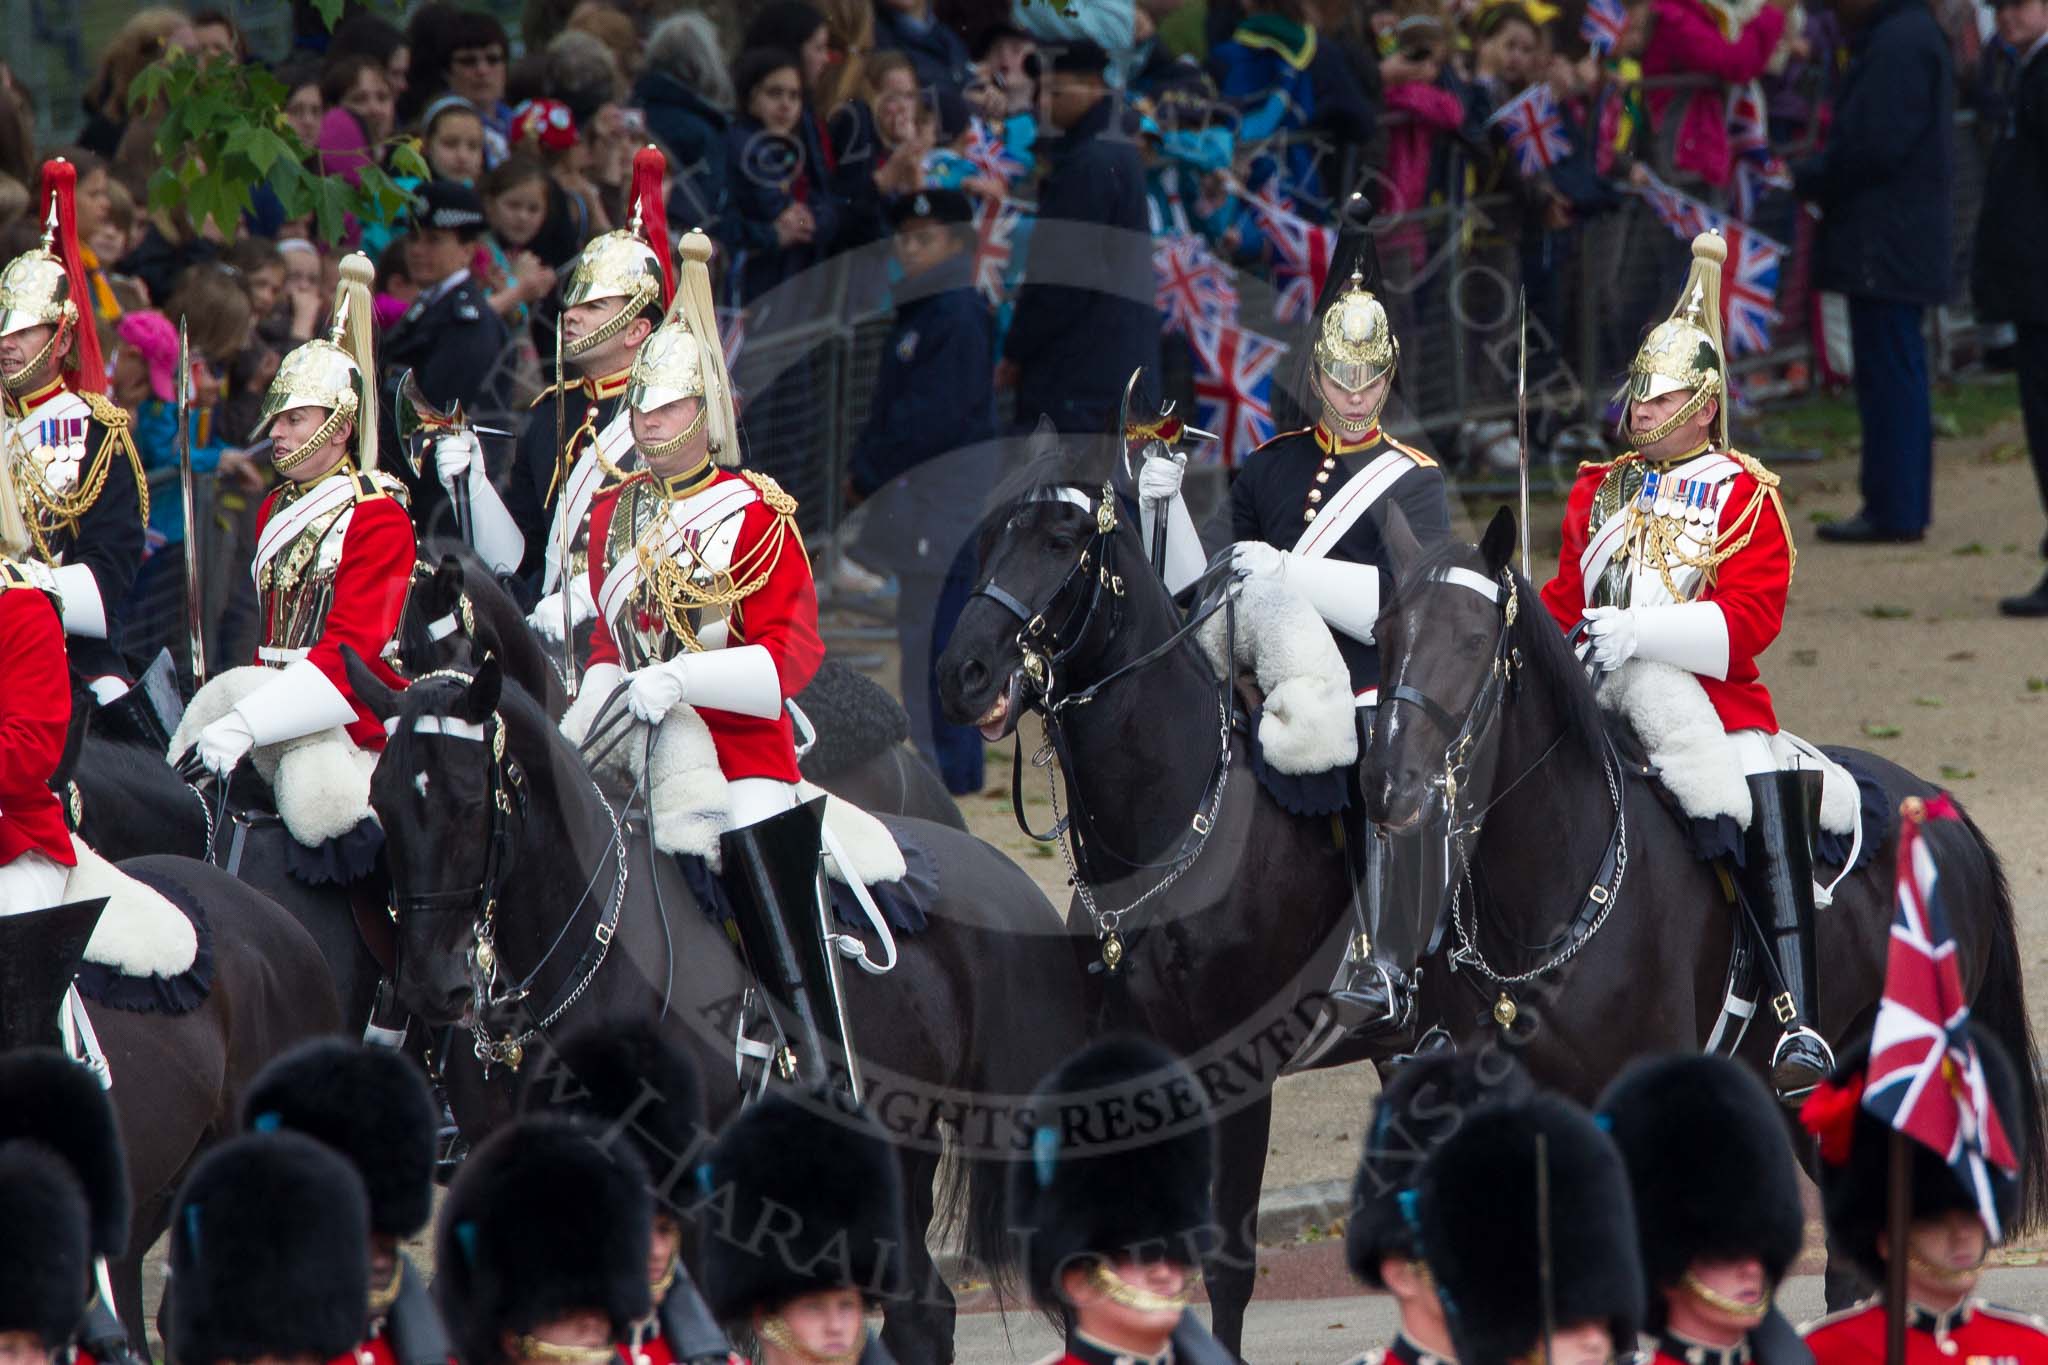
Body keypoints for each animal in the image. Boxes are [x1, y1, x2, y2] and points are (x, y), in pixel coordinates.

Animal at [344, 650, 1089, 1365]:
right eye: (380, 800)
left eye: (470, 802)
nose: (430, 986)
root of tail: (1012, 880)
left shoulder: (692, 1199)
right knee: (921, 1316)